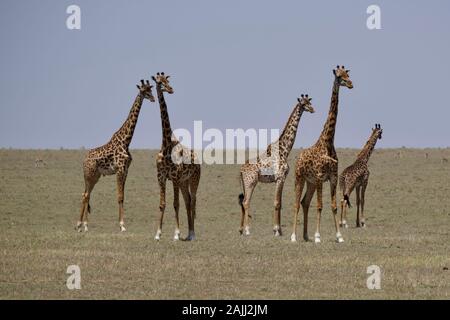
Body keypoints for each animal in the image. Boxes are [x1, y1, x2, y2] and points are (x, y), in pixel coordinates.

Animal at [76, 79, 156, 231]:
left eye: (151, 90)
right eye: (144, 91)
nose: (153, 99)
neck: (126, 141)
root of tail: (83, 160)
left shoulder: (126, 170)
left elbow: (122, 196)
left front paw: (122, 224)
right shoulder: (119, 169)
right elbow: (119, 196)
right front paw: (122, 225)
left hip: (95, 176)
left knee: (86, 194)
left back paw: (81, 225)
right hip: (89, 174)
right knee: (86, 195)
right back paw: (82, 225)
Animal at [151, 72, 200, 241]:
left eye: (168, 81)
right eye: (159, 82)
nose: (171, 89)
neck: (166, 145)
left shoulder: (175, 177)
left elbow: (175, 204)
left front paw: (176, 234)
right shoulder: (161, 177)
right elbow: (162, 204)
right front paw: (157, 234)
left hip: (193, 179)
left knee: (193, 201)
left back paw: (192, 233)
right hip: (184, 182)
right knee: (188, 201)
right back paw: (189, 233)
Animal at [237, 94, 314, 236]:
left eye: (310, 102)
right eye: (303, 104)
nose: (312, 109)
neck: (284, 150)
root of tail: (240, 171)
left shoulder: (282, 178)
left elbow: (280, 203)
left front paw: (280, 230)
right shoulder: (279, 177)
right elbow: (277, 202)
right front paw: (276, 230)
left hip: (246, 183)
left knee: (243, 202)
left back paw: (240, 230)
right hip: (251, 182)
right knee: (246, 202)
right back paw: (247, 230)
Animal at [290, 66, 354, 244]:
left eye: (348, 74)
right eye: (339, 76)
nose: (351, 84)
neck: (328, 142)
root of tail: (298, 158)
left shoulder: (332, 177)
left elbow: (333, 206)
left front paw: (339, 236)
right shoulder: (319, 177)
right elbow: (319, 206)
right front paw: (318, 236)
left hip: (310, 182)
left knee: (304, 202)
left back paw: (306, 235)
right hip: (300, 178)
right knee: (296, 203)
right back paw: (294, 236)